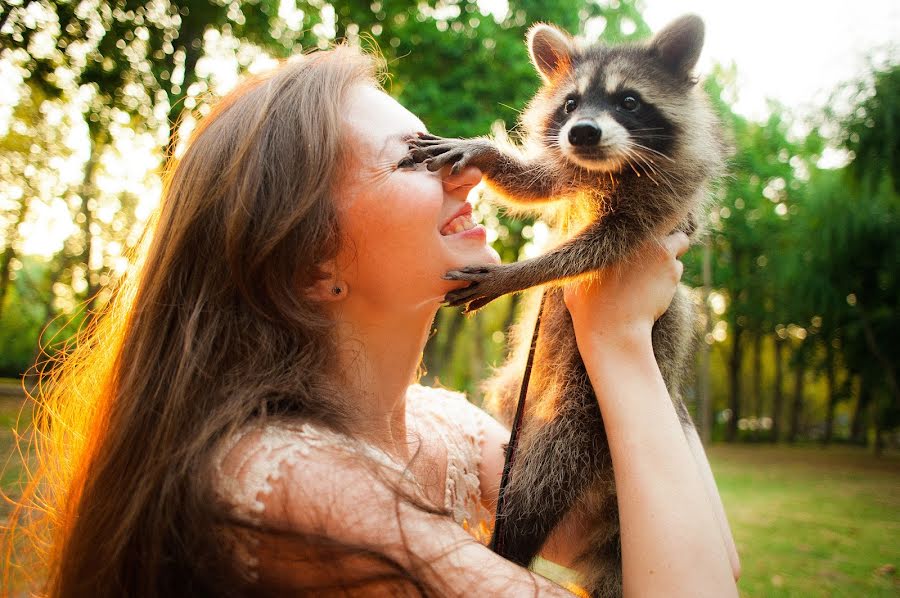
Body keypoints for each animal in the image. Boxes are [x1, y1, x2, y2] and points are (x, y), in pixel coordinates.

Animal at [404, 14, 728, 598]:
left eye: (628, 101)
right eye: (571, 104)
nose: (583, 133)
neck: (608, 169)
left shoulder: (659, 208)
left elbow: (594, 248)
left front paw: (522, 270)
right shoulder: (573, 168)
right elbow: (537, 184)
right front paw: (485, 153)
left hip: (585, 406)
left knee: (548, 471)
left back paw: (507, 546)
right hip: (522, 386)